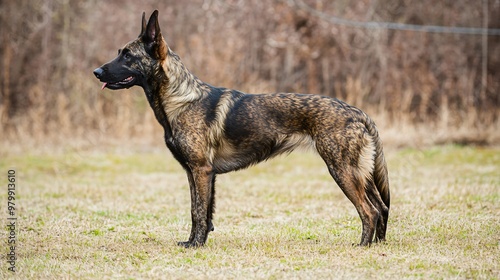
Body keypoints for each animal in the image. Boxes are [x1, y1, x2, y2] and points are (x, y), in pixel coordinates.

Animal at [94, 10, 390, 247]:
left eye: (127, 55)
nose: (96, 72)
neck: (181, 99)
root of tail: (358, 113)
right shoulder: (195, 174)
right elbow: (199, 212)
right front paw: (193, 242)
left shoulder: (201, 171)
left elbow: (199, 212)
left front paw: (196, 246)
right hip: (361, 174)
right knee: (382, 207)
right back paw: (378, 244)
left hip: (342, 171)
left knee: (369, 211)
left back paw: (362, 246)